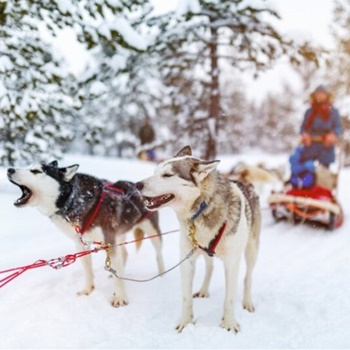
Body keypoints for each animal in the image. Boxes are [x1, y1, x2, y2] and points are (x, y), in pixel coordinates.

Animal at [6, 161, 165, 306]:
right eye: (27, 166)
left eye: (36, 171)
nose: (9, 169)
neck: (72, 200)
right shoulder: (81, 244)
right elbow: (88, 271)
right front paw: (88, 290)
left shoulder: (109, 242)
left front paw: (120, 297)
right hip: (119, 235)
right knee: (124, 255)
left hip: (152, 233)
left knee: (158, 255)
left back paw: (161, 275)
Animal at [136, 146, 260, 332]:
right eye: (155, 171)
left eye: (167, 175)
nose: (137, 184)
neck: (203, 207)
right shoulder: (186, 261)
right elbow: (186, 298)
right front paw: (186, 323)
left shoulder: (232, 262)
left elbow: (229, 299)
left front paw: (228, 323)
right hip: (204, 253)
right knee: (210, 268)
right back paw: (203, 290)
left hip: (251, 251)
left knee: (248, 278)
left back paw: (247, 302)